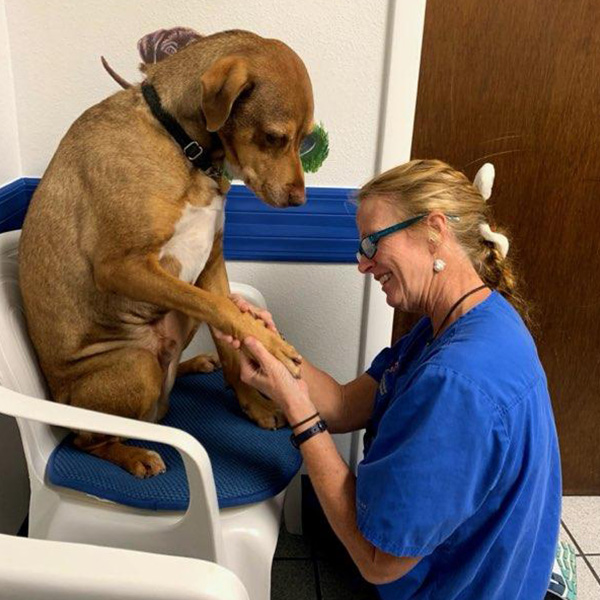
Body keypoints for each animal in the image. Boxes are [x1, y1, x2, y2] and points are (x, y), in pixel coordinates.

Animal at [18, 30, 312, 478]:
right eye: (275, 137)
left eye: (306, 139)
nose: (300, 201)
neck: (183, 145)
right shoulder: (123, 266)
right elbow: (221, 309)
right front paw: (271, 344)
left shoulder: (211, 264)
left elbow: (230, 339)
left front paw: (255, 405)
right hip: (137, 369)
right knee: (91, 439)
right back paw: (134, 455)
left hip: (175, 328)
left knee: (164, 394)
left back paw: (193, 365)